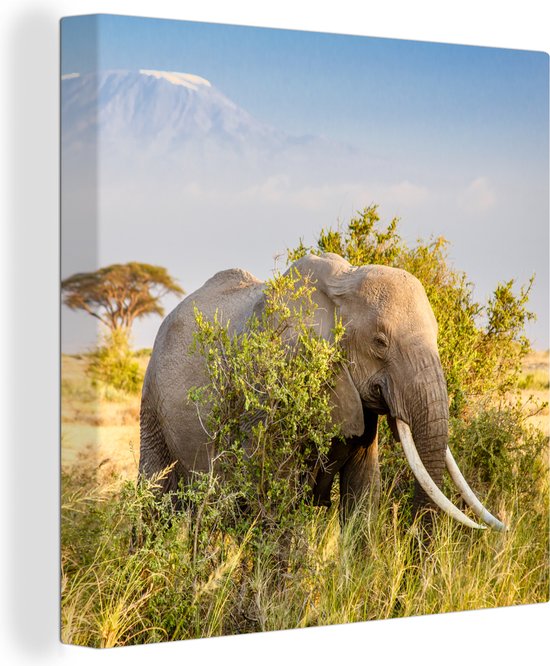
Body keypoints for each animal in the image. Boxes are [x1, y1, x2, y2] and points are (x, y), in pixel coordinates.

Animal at [139, 252, 505, 531]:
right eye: (380, 342)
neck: (341, 287)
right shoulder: (273, 384)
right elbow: (276, 496)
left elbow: (362, 496)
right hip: (152, 402)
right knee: (155, 495)